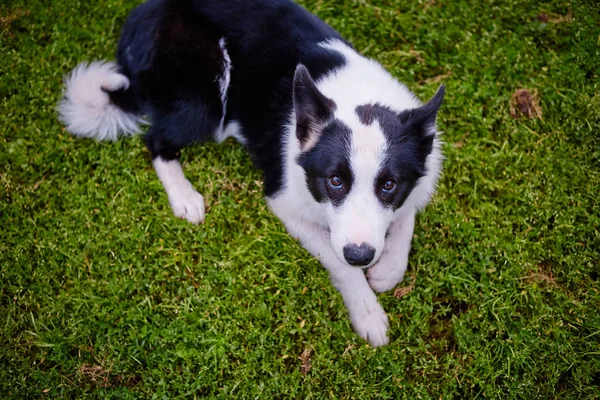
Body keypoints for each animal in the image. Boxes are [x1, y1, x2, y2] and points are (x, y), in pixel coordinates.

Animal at [58, 0, 442, 346]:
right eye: (335, 181)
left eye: (389, 184)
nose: (361, 255)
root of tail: (140, 15)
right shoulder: (285, 201)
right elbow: (340, 263)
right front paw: (367, 313)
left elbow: (406, 218)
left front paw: (388, 269)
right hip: (206, 94)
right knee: (157, 141)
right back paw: (184, 197)